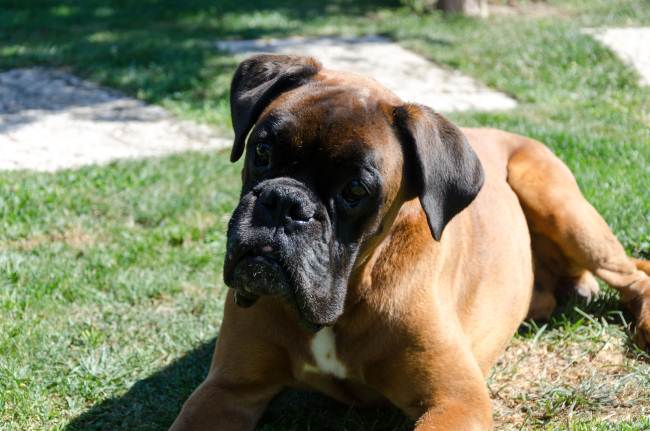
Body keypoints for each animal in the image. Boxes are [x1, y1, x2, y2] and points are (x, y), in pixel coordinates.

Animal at [169, 54, 650, 430]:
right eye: (262, 152)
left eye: (356, 190)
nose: (285, 203)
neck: (347, 299)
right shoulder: (226, 389)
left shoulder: (456, 401)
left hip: (557, 201)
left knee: (633, 278)